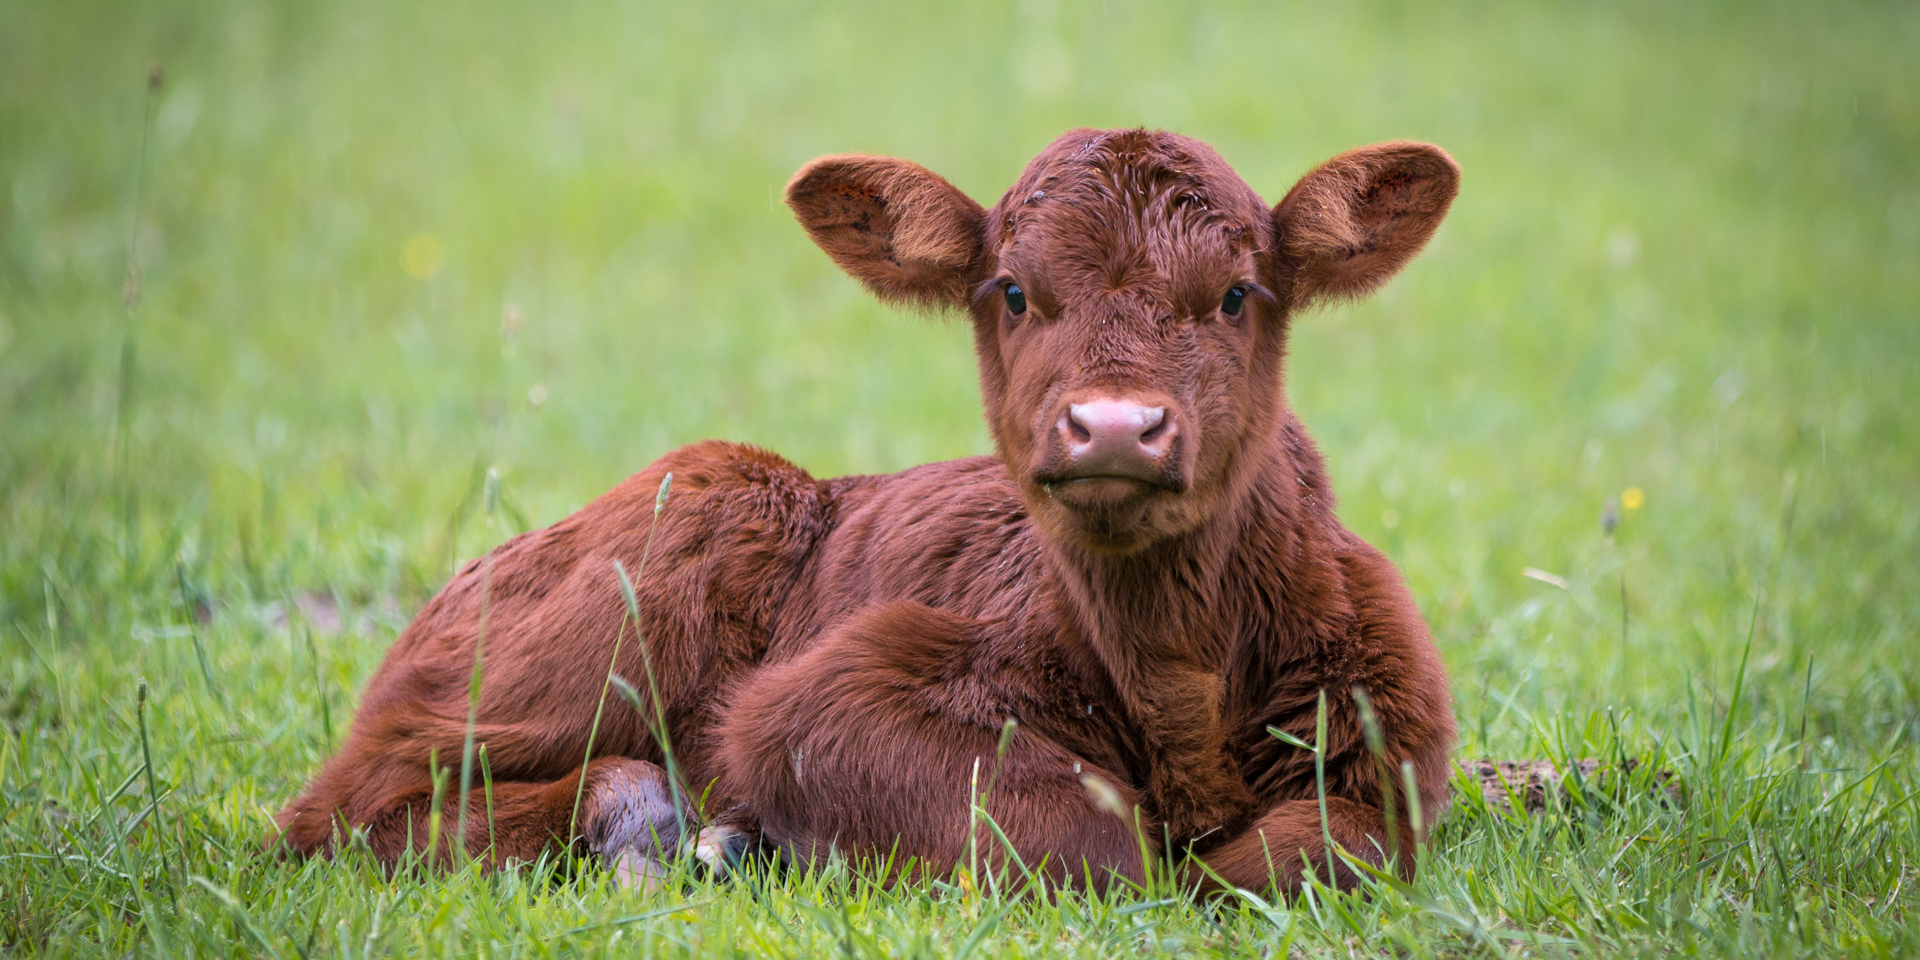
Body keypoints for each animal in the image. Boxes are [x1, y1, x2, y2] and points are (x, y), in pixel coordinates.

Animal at [278, 125, 1459, 890]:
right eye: (1013, 293)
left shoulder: (1395, 743)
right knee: (335, 812)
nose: (1116, 425)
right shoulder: (826, 700)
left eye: (1234, 296)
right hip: (660, 551)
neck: (1177, 680)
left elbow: (1317, 850)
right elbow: (1101, 846)